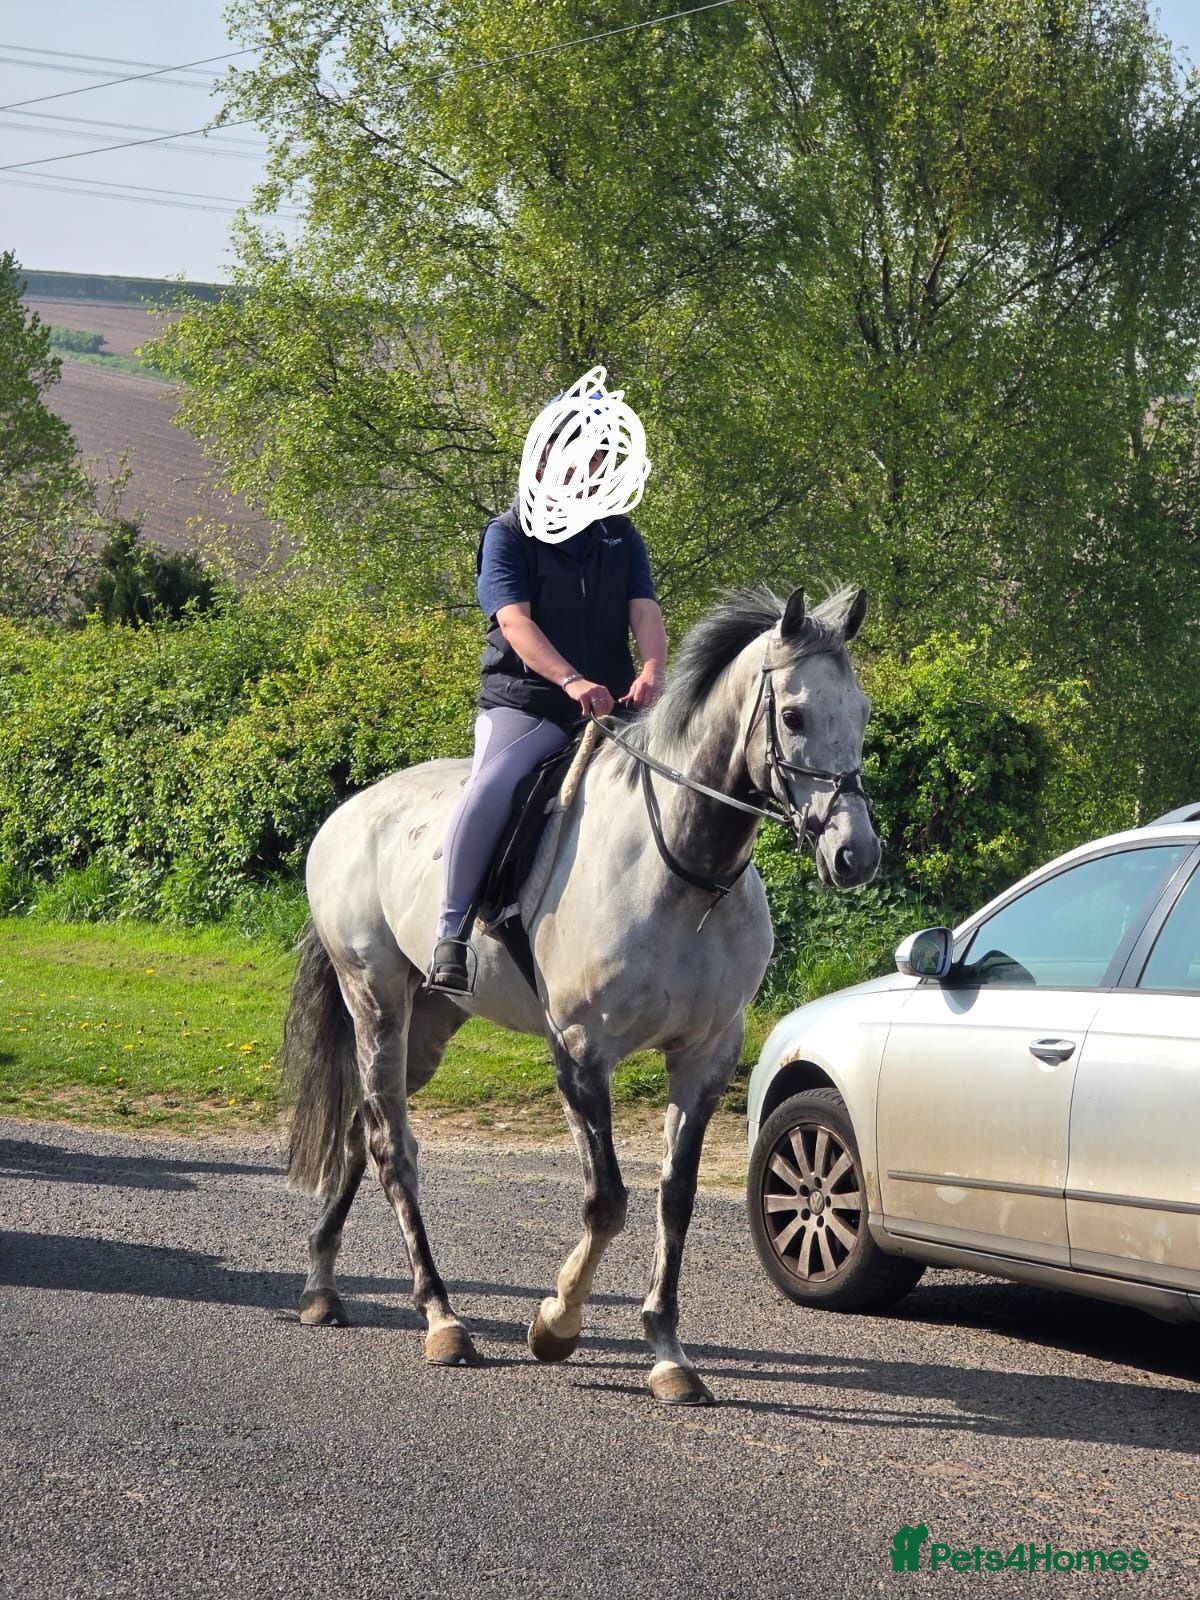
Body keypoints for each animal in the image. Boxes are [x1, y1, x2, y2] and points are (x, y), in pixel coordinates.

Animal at [280, 584, 881, 1405]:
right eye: (792, 715)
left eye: (862, 711)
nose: (857, 855)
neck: (680, 869)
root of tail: (349, 813)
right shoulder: (581, 1052)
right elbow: (606, 1200)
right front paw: (555, 1325)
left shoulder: (705, 1057)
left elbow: (674, 1197)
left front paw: (668, 1354)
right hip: (375, 999)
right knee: (391, 1148)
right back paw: (442, 1319)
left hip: (427, 1023)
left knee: (360, 1130)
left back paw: (321, 1287)